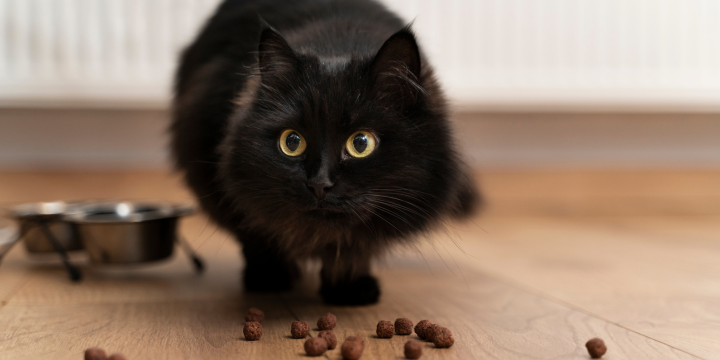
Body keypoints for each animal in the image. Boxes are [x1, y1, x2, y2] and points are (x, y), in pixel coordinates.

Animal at [170, 0, 478, 306]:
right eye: (292, 142)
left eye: (361, 143)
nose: (319, 184)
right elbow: (257, 231)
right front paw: (270, 277)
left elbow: (353, 246)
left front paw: (348, 288)